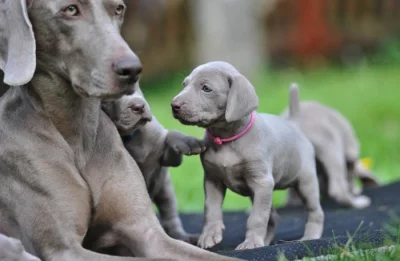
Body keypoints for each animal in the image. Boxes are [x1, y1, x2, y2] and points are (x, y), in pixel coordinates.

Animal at [101, 85, 205, 244]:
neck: (131, 137)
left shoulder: (169, 158)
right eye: (107, 99)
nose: (139, 106)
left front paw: (189, 142)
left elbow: (170, 135)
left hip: (166, 191)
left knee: (170, 215)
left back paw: (183, 236)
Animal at [170, 61, 324, 250]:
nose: (174, 105)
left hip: (305, 182)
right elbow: (211, 209)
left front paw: (250, 242)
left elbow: (256, 217)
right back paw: (265, 241)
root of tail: (293, 124)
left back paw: (310, 236)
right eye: (184, 84)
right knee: (272, 217)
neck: (226, 139)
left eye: (206, 88)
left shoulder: (262, 182)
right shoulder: (212, 181)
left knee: (315, 211)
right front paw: (210, 234)